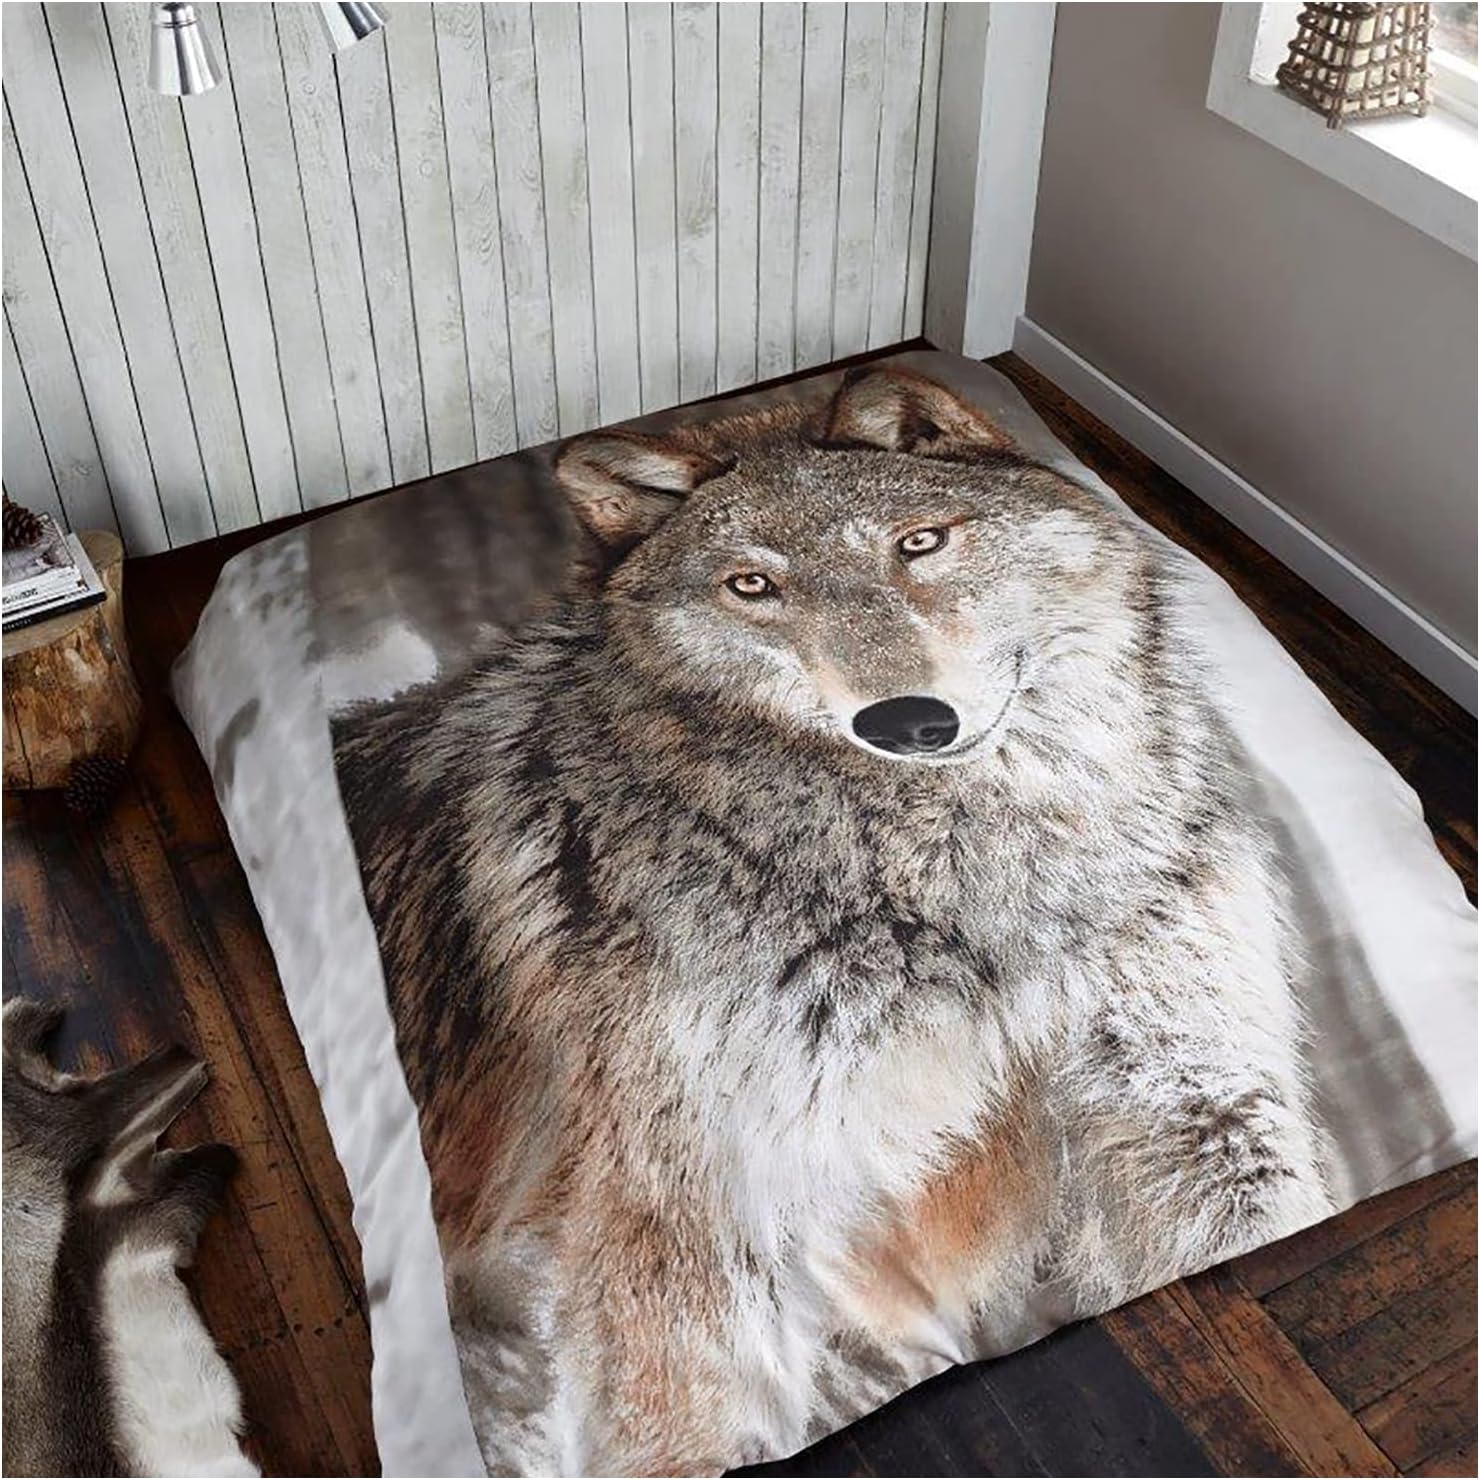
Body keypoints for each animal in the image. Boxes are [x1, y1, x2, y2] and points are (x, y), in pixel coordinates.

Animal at [333, 367, 1333, 1475]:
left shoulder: (1197, 1104)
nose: (907, 722)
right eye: (752, 587)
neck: (978, 897)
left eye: (919, 542)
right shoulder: (691, 1231)